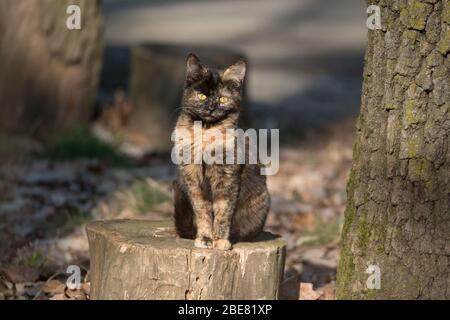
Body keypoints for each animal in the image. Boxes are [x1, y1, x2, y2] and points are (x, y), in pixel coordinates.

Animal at [174, 53, 268, 251]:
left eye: (223, 99)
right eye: (202, 96)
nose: (211, 107)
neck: (205, 132)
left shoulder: (227, 177)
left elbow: (223, 211)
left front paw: (220, 241)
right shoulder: (193, 180)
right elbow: (202, 210)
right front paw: (205, 238)